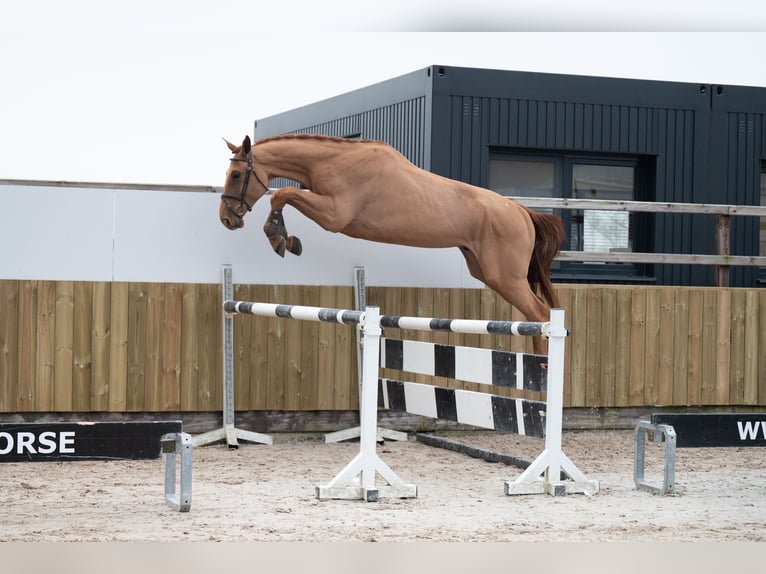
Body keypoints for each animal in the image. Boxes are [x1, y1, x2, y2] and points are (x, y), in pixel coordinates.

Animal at [219, 135, 568, 356]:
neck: (335, 161)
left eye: (235, 174)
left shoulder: (335, 216)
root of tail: (522, 212)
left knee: (540, 313)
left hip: (505, 277)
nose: (226, 218)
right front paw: (284, 237)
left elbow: (282, 194)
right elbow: (284, 195)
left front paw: (280, 237)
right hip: (483, 270)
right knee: (534, 315)